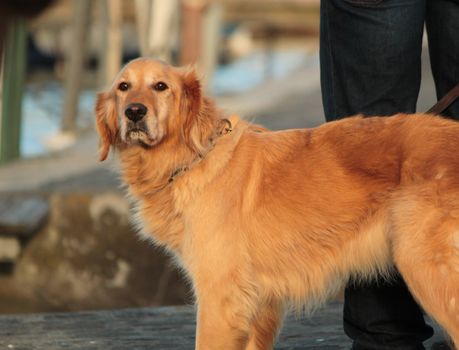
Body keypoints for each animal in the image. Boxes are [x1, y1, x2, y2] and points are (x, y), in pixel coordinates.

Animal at [95, 58, 459, 350]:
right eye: (123, 87)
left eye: (161, 86)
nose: (134, 112)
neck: (192, 158)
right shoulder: (258, 305)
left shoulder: (219, 296)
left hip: (426, 269)